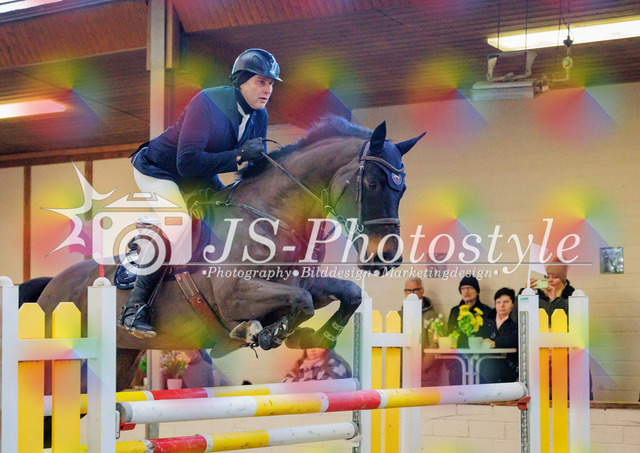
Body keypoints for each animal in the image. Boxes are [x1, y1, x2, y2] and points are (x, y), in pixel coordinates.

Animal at [36, 117, 424, 391]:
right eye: (372, 183)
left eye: (403, 189)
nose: (387, 257)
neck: (269, 217)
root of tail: (49, 288)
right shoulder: (235, 295)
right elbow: (301, 303)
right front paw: (260, 333)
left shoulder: (302, 283)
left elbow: (347, 293)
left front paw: (314, 337)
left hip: (122, 357)